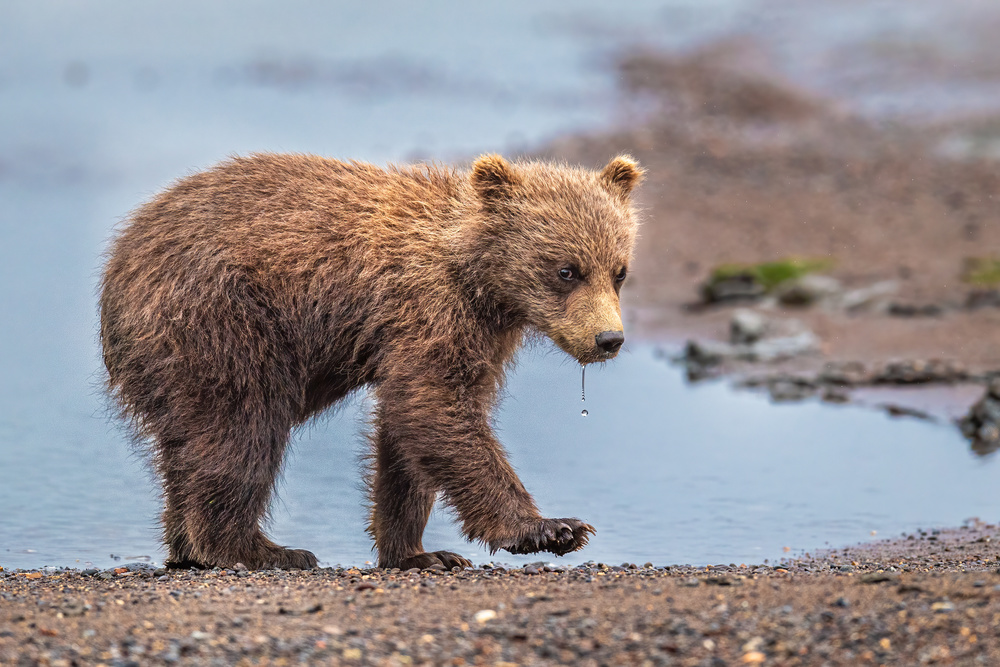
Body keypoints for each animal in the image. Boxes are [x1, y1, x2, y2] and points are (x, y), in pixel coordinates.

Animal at [101, 154, 644, 572]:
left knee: (186, 447)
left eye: (619, 271)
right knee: (242, 429)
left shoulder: (473, 337)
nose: (609, 339)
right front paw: (552, 528)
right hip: (222, 322)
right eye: (566, 270)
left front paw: (422, 553)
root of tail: (117, 266)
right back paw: (262, 549)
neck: (479, 280)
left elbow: (407, 435)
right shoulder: (430, 310)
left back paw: (188, 545)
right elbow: (432, 406)